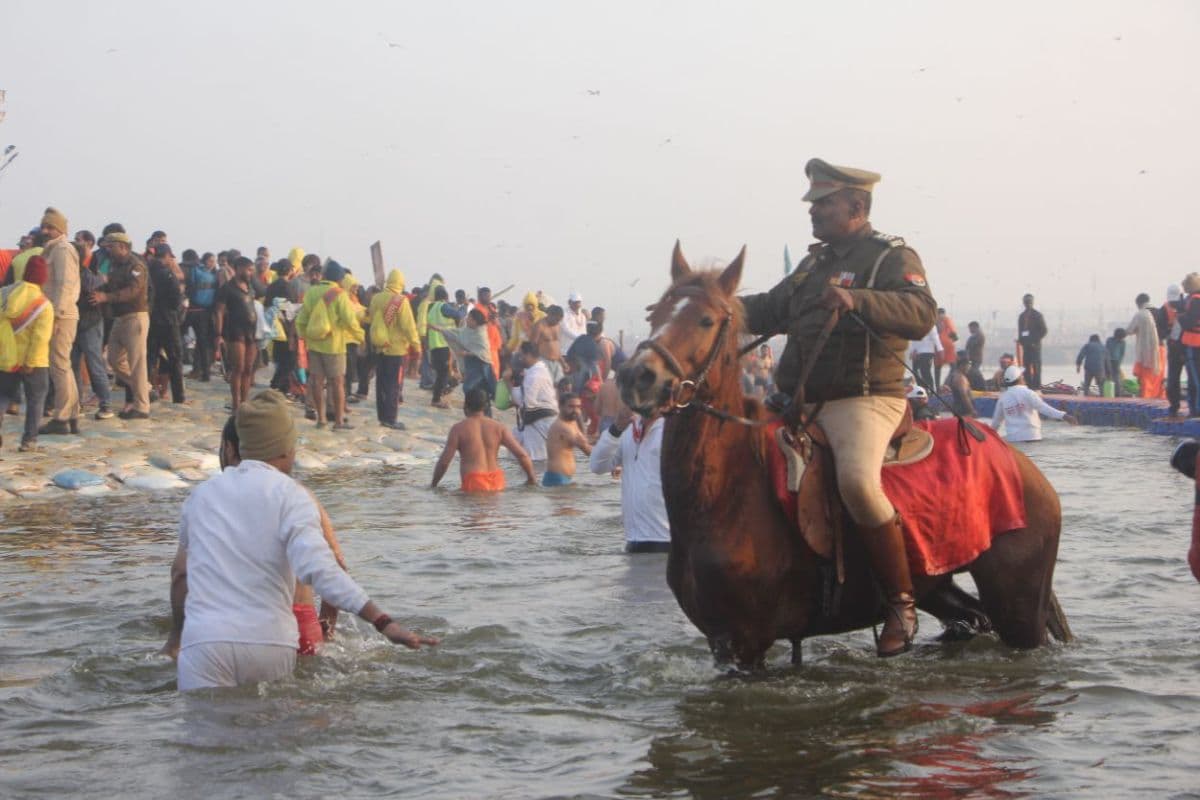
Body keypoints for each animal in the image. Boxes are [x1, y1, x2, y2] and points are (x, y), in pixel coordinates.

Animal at [619, 244, 1070, 671]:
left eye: (706, 320)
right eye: (654, 314)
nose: (636, 377)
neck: (729, 492)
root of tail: (1021, 466)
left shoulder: (749, 642)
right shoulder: (721, 642)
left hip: (1018, 596)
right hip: (938, 585)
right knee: (971, 618)